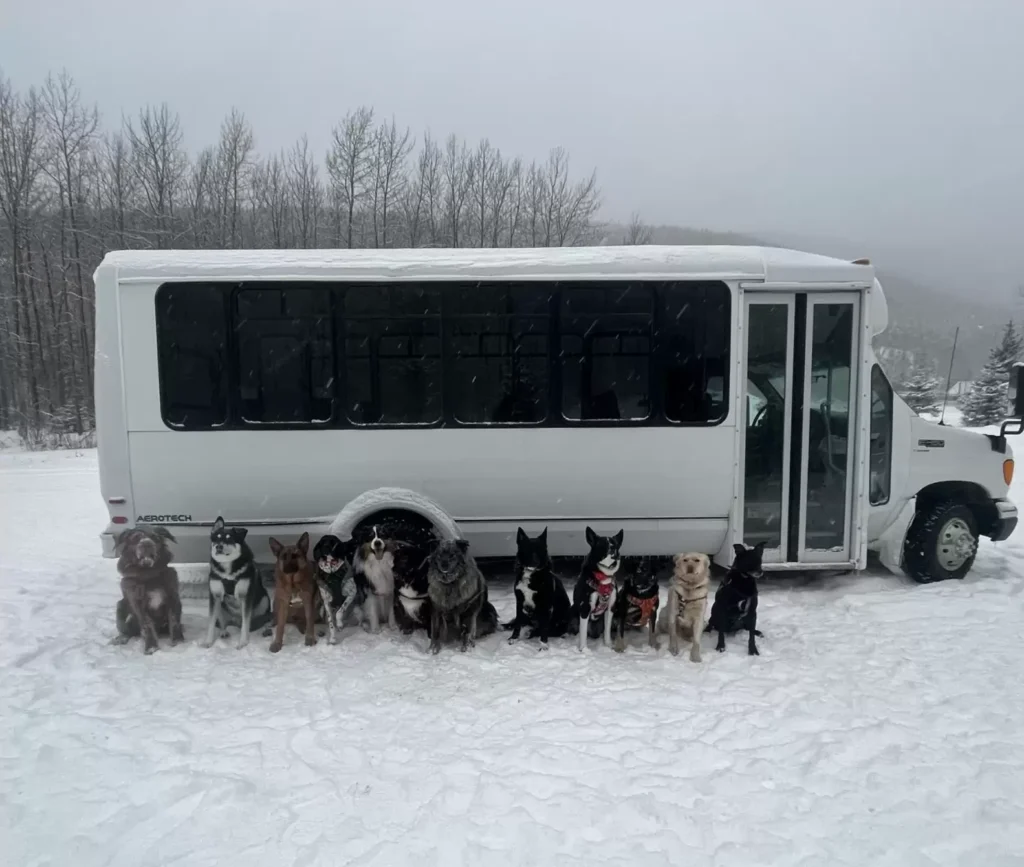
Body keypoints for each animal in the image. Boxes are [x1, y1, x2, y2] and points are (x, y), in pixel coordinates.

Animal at [112, 524, 184, 655]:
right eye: (136, 537)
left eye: (155, 537)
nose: (147, 543)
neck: (149, 576)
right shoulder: (138, 605)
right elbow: (147, 625)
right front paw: (151, 648)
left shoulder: (173, 599)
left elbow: (174, 621)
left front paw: (178, 643)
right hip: (120, 606)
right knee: (127, 631)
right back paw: (121, 638)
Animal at [199, 515, 270, 651]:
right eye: (216, 538)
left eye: (230, 538)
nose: (218, 547)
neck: (228, 570)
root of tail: (235, 621)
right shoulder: (215, 596)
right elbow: (211, 622)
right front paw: (208, 641)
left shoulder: (246, 596)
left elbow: (246, 624)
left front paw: (243, 642)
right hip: (221, 605)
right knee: (223, 622)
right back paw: (223, 631)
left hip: (264, 600)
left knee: (264, 619)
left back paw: (266, 629)